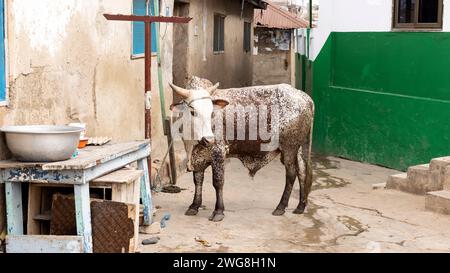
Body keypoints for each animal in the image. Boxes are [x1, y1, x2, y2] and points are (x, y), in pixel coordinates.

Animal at [171, 76, 314, 221]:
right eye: (193, 112)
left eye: (212, 113)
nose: (209, 139)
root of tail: (304, 97)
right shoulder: (198, 156)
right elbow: (198, 180)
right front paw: (194, 206)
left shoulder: (219, 152)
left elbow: (218, 182)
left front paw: (218, 211)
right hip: (299, 148)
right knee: (302, 172)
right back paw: (300, 206)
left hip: (289, 148)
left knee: (291, 174)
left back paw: (281, 207)